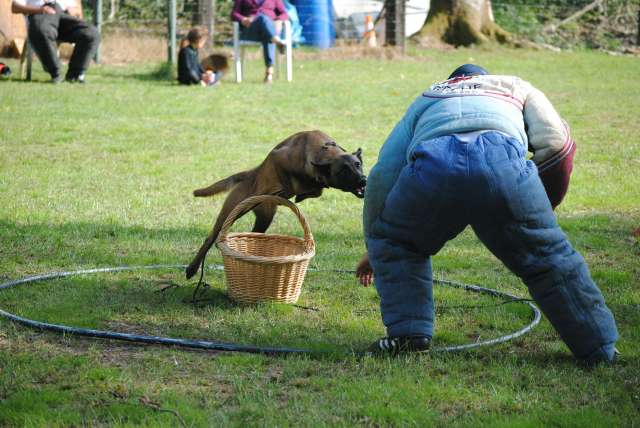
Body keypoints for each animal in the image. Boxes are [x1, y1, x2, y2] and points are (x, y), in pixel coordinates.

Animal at [185, 129, 364, 280]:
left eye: (358, 164)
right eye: (343, 170)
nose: (364, 180)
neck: (322, 150)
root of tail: (251, 173)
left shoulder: (317, 183)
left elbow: (316, 190)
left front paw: (302, 194)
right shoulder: (277, 157)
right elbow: (288, 181)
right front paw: (291, 191)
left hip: (264, 218)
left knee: (254, 235)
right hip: (232, 211)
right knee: (210, 238)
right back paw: (192, 268)